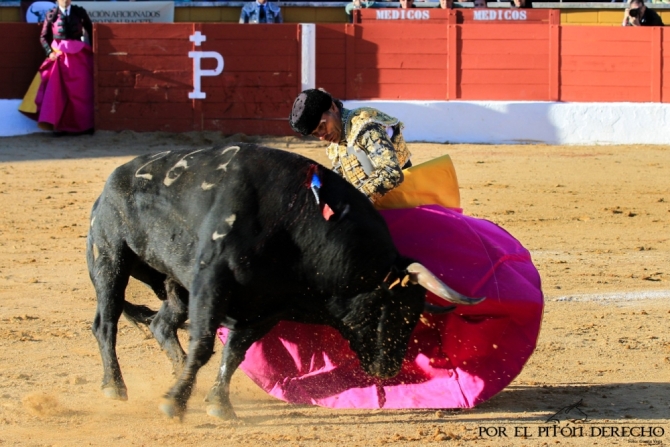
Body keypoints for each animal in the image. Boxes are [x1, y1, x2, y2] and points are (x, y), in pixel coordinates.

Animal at [89, 146, 486, 420]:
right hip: (110, 259)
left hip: (175, 288)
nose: (389, 368)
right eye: (393, 310)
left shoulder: (267, 308)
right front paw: (174, 404)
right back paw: (115, 387)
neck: (295, 221)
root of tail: (109, 184)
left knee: (160, 324)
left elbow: (234, 353)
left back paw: (177, 375)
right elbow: (204, 344)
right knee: (106, 324)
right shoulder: (211, 282)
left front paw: (218, 404)